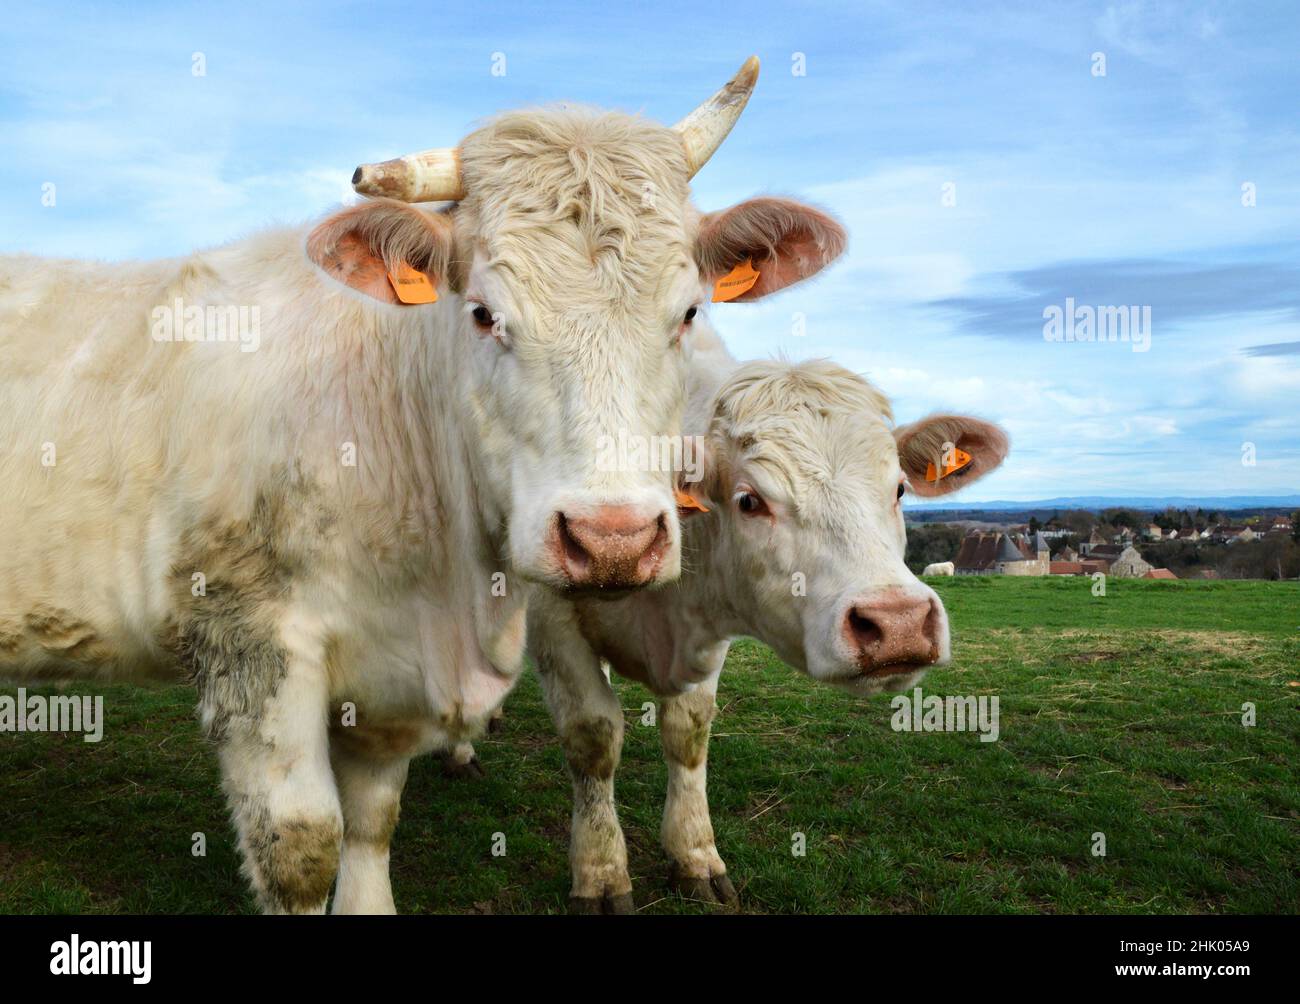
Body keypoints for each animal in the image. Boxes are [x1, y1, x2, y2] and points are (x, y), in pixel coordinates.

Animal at [2, 58, 852, 915]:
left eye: (687, 313)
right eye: (482, 313)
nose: (612, 539)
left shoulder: (390, 681)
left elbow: (371, 821)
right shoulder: (249, 645)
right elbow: (301, 847)